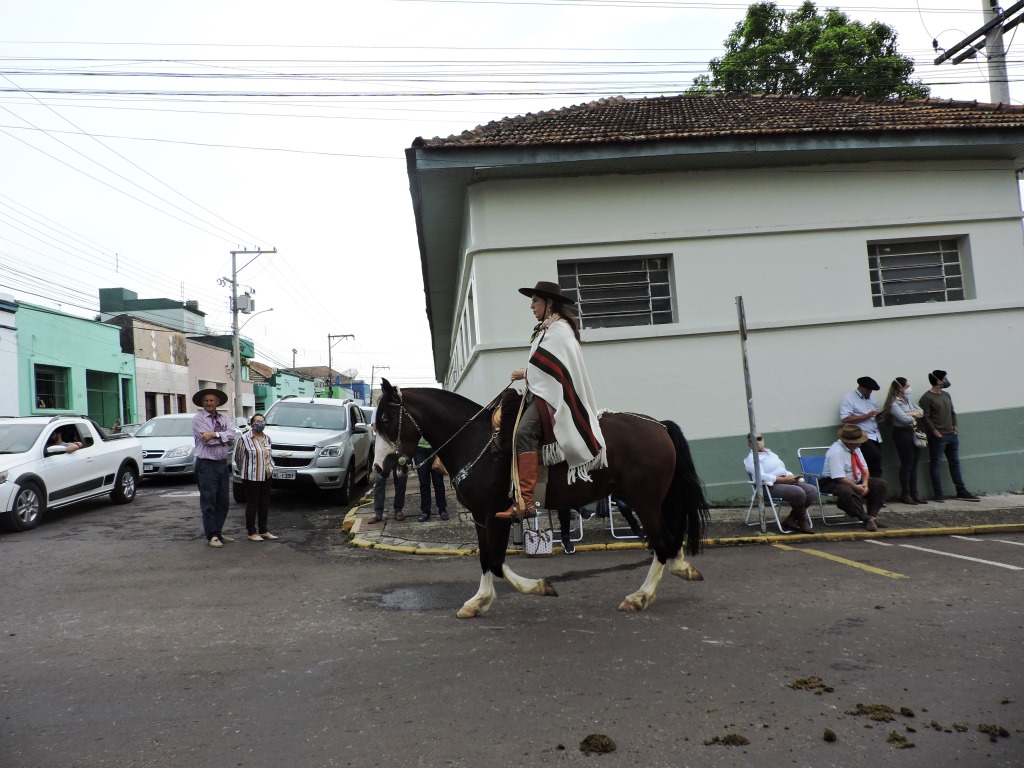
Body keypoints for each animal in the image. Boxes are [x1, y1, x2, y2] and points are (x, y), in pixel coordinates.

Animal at [372, 378, 708, 618]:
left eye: (386, 419)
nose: (379, 467)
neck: (476, 441)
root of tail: (660, 426)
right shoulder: (481, 517)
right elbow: (486, 559)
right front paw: (478, 601)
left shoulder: (497, 514)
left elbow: (496, 561)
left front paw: (538, 587)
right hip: (654, 500)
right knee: (671, 538)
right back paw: (681, 569)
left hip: (644, 500)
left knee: (663, 542)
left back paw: (640, 597)